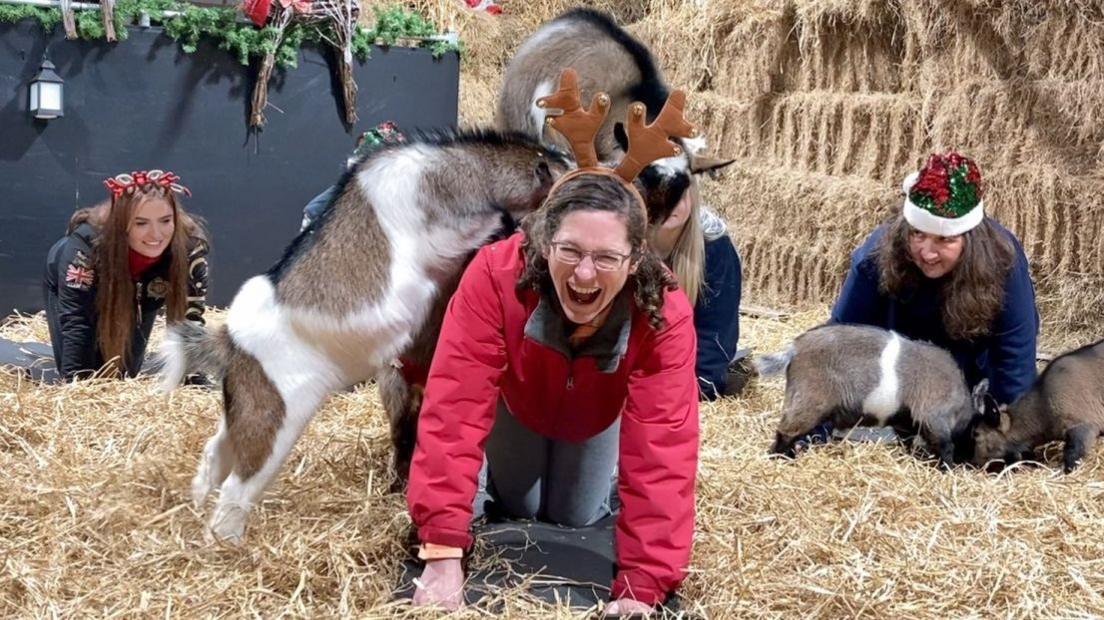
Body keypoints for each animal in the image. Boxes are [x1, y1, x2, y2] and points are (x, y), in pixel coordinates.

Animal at [755, 324, 989, 463]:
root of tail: (794, 349)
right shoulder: (933, 417)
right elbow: (945, 445)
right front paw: (947, 468)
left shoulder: (906, 422)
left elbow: (908, 441)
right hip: (810, 401)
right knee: (786, 431)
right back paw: (779, 457)